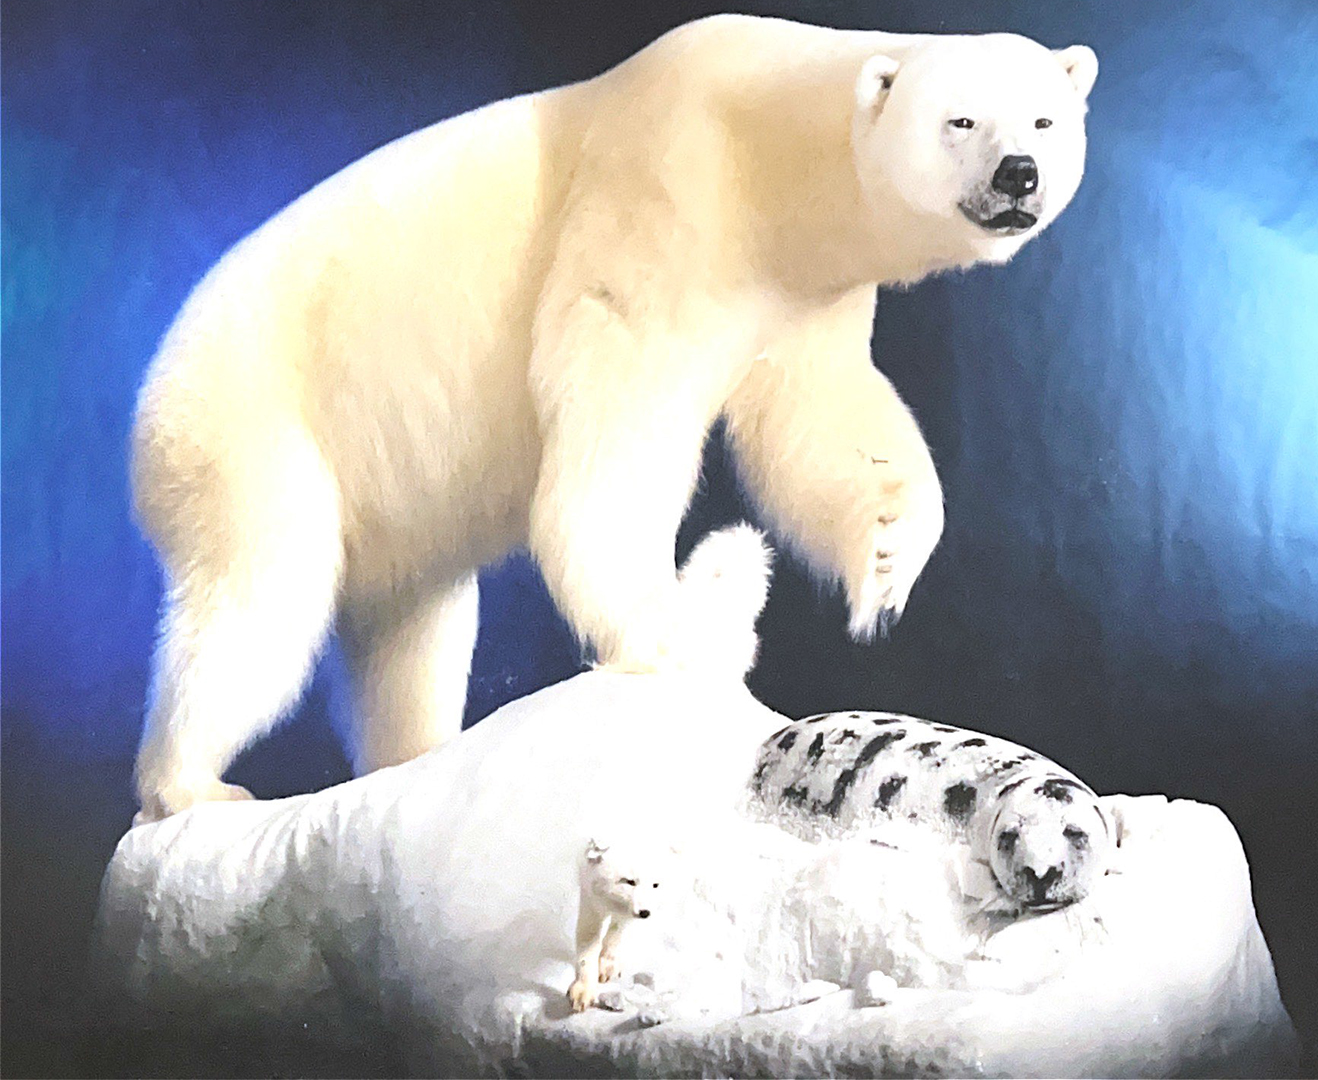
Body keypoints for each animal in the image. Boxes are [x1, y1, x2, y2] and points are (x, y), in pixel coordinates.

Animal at [131, 12, 1101, 817]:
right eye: (960, 121)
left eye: (1044, 121)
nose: (1020, 176)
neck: (774, 159)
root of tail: (156, 394)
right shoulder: (663, 205)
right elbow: (618, 426)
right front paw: (666, 632)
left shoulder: (802, 292)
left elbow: (818, 411)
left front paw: (890, 556)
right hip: (254, 423)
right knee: (260, 596)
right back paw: (192, 784)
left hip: (390, 511)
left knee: (411, 633)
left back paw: (418, 757)